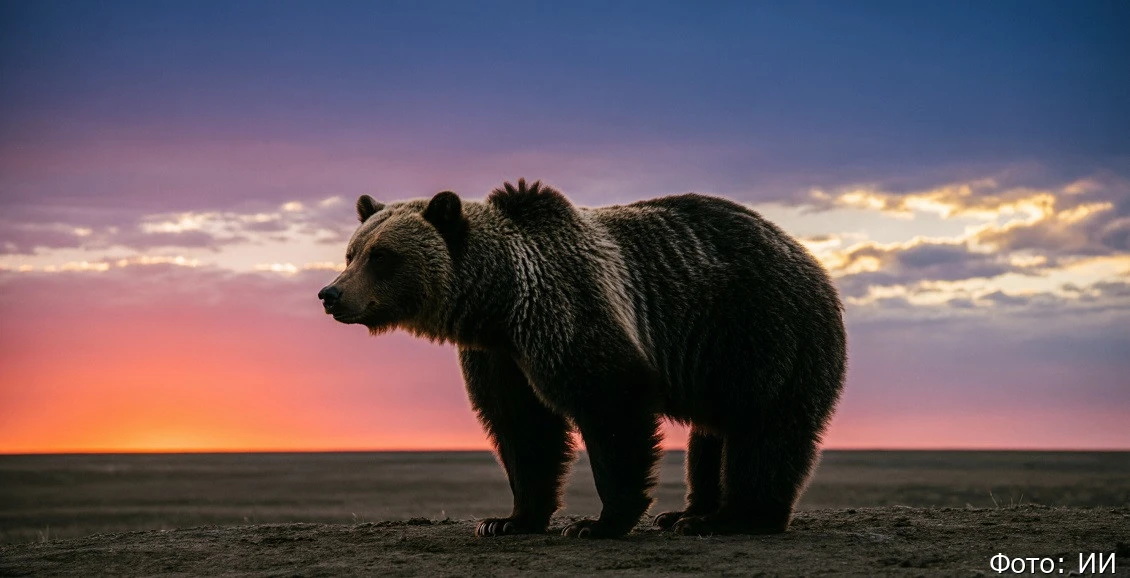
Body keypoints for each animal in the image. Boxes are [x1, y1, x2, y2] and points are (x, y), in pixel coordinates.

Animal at [318, 179, 846, 538]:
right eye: (352, 252)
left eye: (382, 256)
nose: (330, 294)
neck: (497, 303)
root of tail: (809, 259)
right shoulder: (500, 355)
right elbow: (523, 427)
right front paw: (508, 520)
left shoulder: (566, 310)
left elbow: (610, 405)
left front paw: (600, 521)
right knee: (711, 435)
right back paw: (689, 512)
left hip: (761, 331)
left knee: (764, 426)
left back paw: (736, 518)